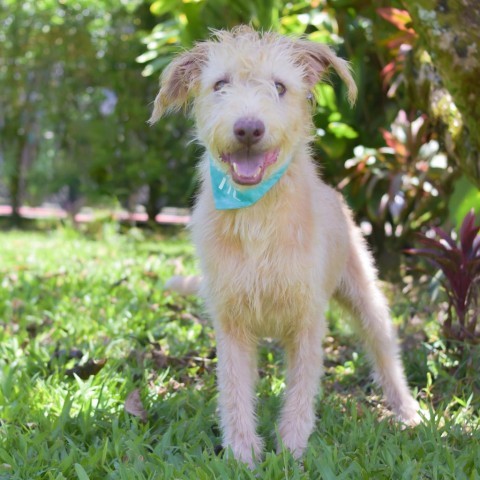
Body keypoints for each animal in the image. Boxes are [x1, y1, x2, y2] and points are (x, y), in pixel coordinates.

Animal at [149, 25, 420, 464]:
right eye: (220, 85)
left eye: (279, 87)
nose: (248, 128)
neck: (257, 214)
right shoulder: (232, 321)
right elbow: (235, 390)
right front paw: (243, 454)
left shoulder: (308, 319)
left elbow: (301, 390)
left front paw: (291, 450)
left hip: (364, 294)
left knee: (384, 349)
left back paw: (406, 409)